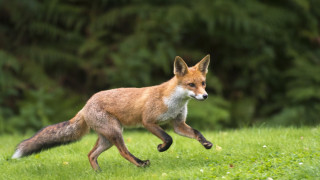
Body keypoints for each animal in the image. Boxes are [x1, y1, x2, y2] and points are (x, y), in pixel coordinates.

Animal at [11, 54, 212, 170]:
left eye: (203, 83)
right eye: (191, 85)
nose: (205, 96)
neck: (173, 101)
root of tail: (85, 105)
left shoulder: (178, 123)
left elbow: (196, 132)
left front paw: (206, 143)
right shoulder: (148, 122)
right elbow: (168, 138)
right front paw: (161, 148)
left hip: (107, 138)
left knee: (90, 154)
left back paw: (98, 173)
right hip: (115, 132)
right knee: (123, 152)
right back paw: (140, 164)